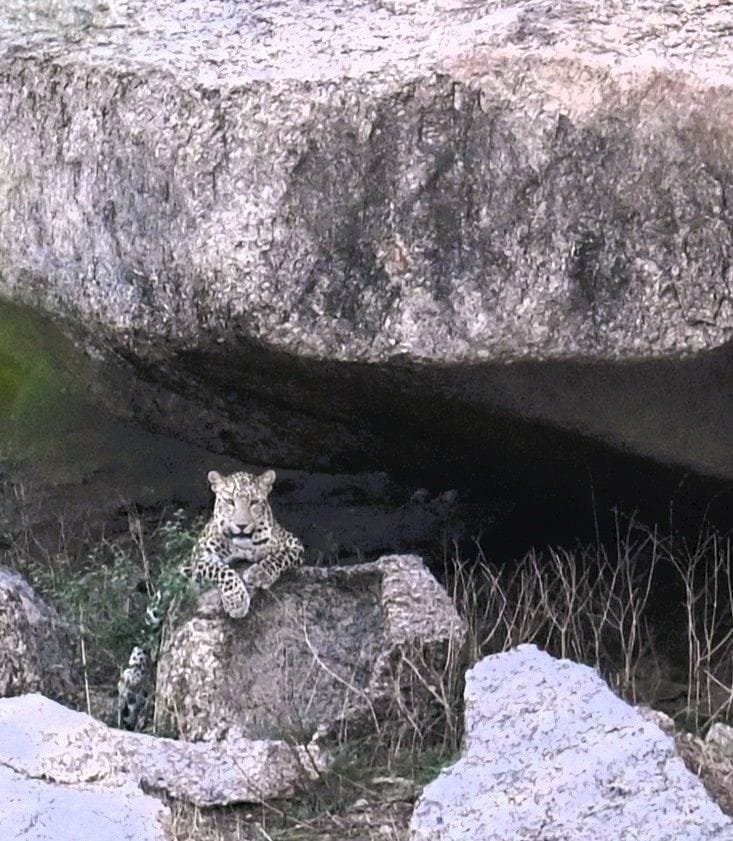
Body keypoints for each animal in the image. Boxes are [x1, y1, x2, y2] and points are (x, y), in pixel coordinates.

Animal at [117, 467, 304, 730]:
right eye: (230, 501)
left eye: (254, 503)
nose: (242, 526)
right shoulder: (199, 560)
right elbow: (223, 570)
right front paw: (236, 600)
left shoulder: (294, 545)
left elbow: (278, 557)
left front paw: (260, 572)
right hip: (161, 598)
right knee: (145, 639)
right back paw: (132, 678)